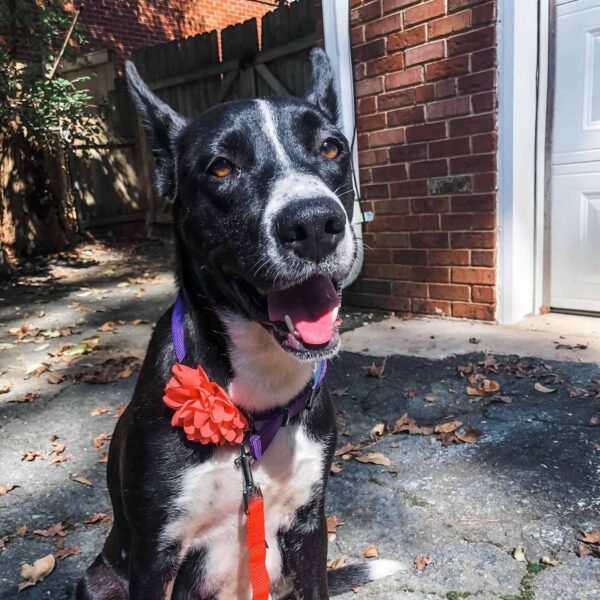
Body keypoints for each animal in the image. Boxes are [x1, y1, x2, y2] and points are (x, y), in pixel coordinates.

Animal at [77, 48, 400, 600]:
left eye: (332, 148)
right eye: (222, 167)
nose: (314, 224)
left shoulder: (309, 529)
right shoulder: (154, 553)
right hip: (98, 579)